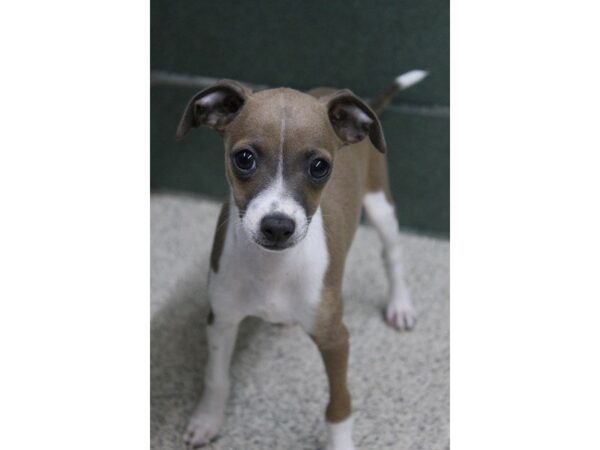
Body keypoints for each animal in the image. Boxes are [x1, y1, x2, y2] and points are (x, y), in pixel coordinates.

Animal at [173, 68, 426, 448]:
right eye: (244, 158)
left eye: (319, 166)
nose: (277, 226)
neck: (273, 269)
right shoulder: (221, 320)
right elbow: (215, 377)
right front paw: (207, 419)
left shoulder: (335, 338)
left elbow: (339, 405)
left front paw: (340, 443)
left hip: (380, 206)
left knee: (391, 256)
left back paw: (400, 305)